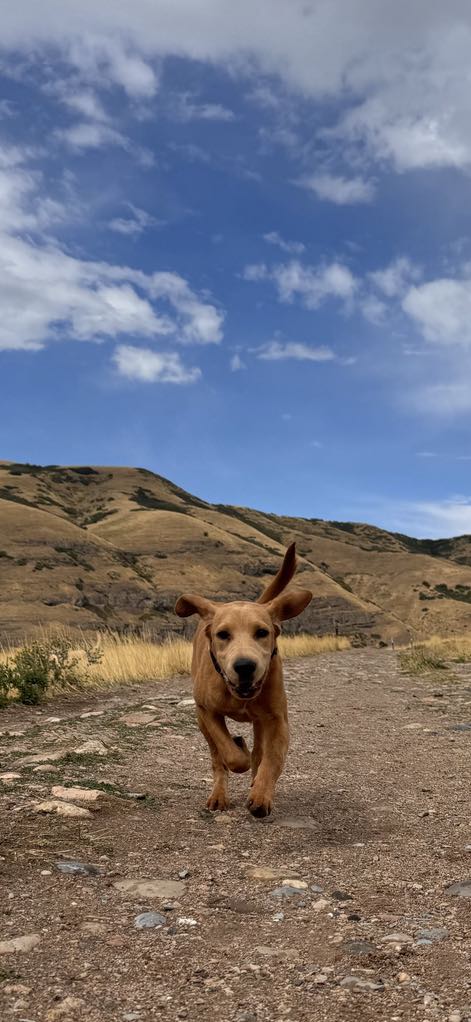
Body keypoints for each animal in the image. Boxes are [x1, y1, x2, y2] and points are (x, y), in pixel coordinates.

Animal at [175, 547, 312, 817]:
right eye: (222, 634)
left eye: (262, 632)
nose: (245, 666)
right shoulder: (206, 711)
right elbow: (231, 756)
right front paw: (239, 751)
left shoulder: (278, 720)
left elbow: (271, 759)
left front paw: (261, 795)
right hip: (203, 724)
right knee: (217, 759)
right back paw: (219, 794)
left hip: (261, 720)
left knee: (259, 751)